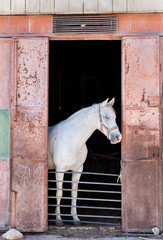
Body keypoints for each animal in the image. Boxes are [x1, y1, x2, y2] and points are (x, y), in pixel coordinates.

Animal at [47, 97, 121, 225]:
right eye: (106, 117)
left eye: (115, 117)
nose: (117, 137)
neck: (73, 139)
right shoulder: (60, 170)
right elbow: (59, 193)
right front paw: (58, 219)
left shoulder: (78, 170)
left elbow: (74, 193)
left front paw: (75, 218)